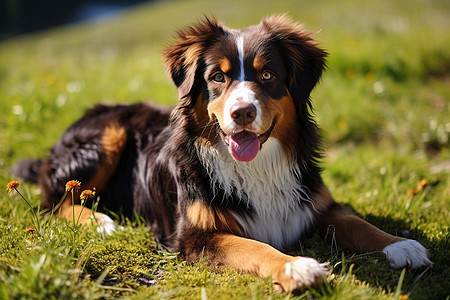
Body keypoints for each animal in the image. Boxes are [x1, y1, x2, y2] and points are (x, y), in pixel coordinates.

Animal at [12, 15, 430, 292]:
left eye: (267, 75)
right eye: (217, 77)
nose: (242, 112)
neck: (259, 167)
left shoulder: (316, 203)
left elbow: (357, 223)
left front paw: (400, 245)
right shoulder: (197, 237)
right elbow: (257, 246)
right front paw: (297, 267)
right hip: (107, 136)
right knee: (51, 202)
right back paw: (98, 221)